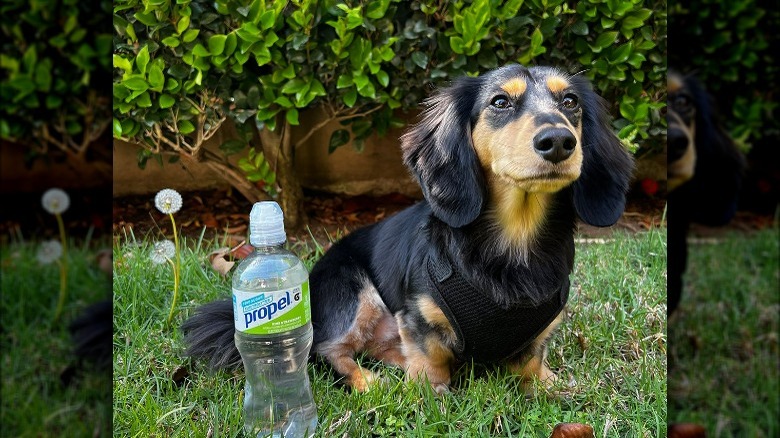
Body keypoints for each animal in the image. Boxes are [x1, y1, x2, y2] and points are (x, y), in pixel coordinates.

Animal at [183, 64, 632, 394]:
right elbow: (430, 358)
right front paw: (433, 393)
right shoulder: (416, 316)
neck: (514, 242)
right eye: (500, 102)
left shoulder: (538, 331)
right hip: (353, 291)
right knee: (327, 349)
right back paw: (369, 381)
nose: (558, 141)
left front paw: (547, 384)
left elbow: (531, 360)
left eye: (570, 101)